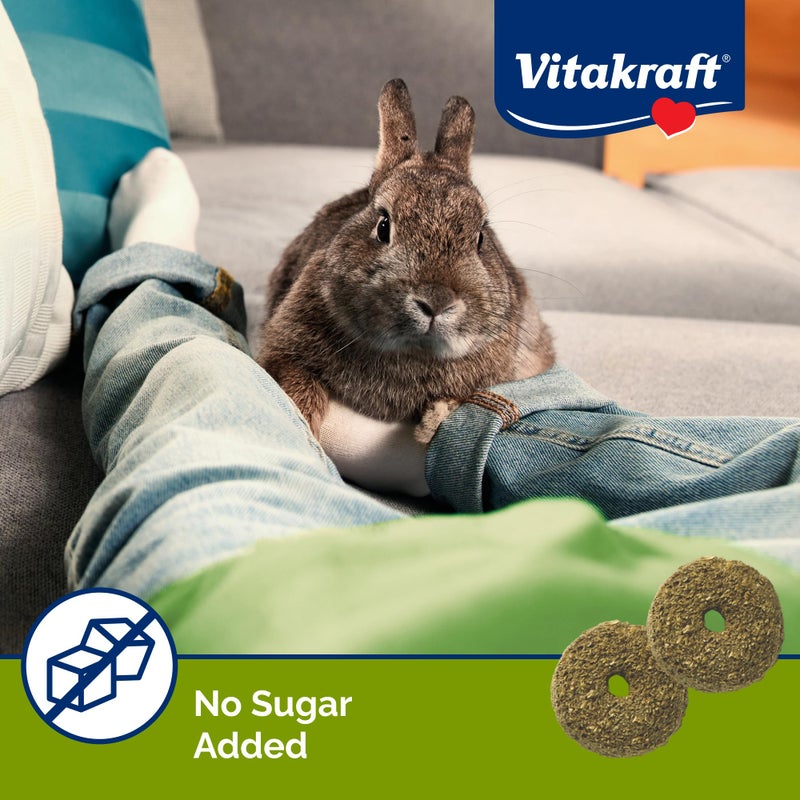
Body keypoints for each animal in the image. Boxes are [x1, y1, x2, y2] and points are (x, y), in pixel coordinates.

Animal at [257, 78, 554, 443]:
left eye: (481, 238)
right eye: (384, 226)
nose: (436, 301)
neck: (413, 350)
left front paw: (429, 427)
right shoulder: (283, 351)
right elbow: (298, 385)